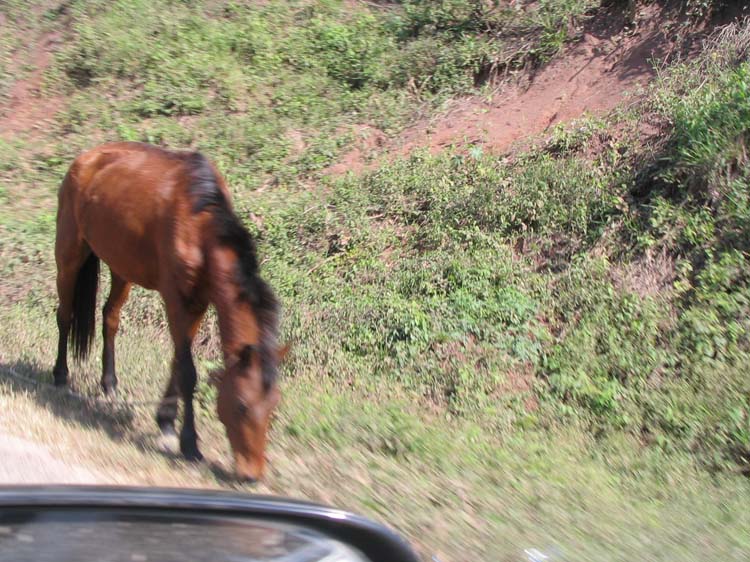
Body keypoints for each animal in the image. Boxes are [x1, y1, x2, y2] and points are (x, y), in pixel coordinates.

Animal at [52, 141, 287, 482]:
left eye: (273, 405)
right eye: (243, 405)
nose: (252, 474)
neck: (199, 224)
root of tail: (86, 157)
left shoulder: (200, 303)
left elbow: (178, 361)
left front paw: (164, 421)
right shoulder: (175, 299)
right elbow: (188, 371)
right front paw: (189, 444)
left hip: (121, 266)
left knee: (110, 318)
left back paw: (109, 384)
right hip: (70, 252)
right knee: (65, 315)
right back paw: (60, 375)